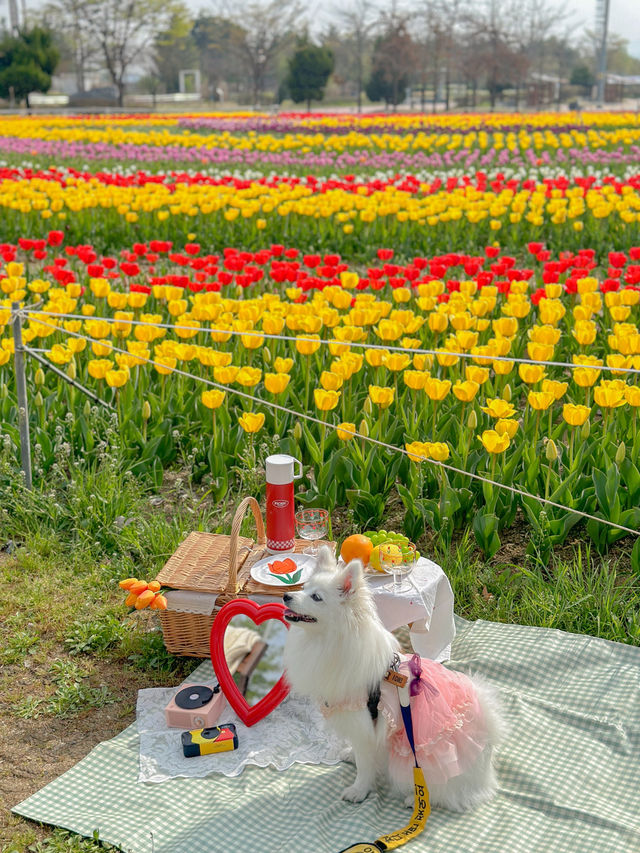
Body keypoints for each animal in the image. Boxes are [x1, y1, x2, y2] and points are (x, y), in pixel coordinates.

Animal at [282, 548, 502, 808]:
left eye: (316, 597)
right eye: (304, 587)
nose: (286, 595)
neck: (328, 640)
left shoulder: (364, 724)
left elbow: (365, 765)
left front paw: (358, 790)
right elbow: (361, 754)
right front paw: (351, 755)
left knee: (449, 791)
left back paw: (414, 798)